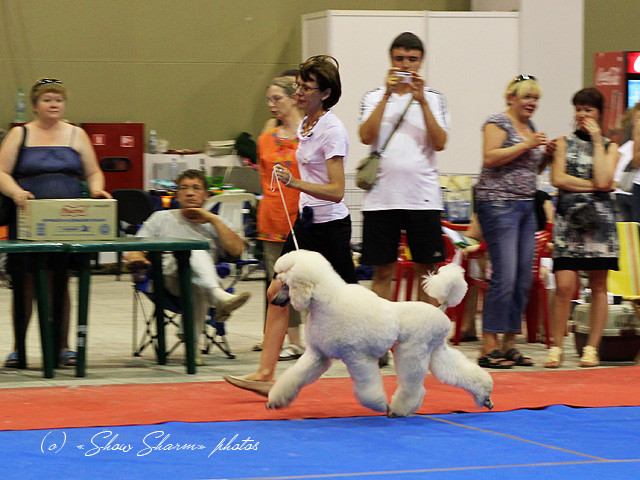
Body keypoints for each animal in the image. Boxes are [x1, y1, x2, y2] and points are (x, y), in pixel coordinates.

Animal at [267, 249, 493, 417]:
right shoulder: (318, 355)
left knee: (413, 385)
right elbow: (296, 375)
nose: (274, 301)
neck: (326, 301)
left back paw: (399, 409)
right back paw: (484, 395)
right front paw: (276, 401)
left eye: (285, 285)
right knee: (456, 372)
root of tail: (441, 309)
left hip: (411, 351)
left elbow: (368, 387)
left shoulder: (357, 356)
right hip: (436, 350)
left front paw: (379, 404)